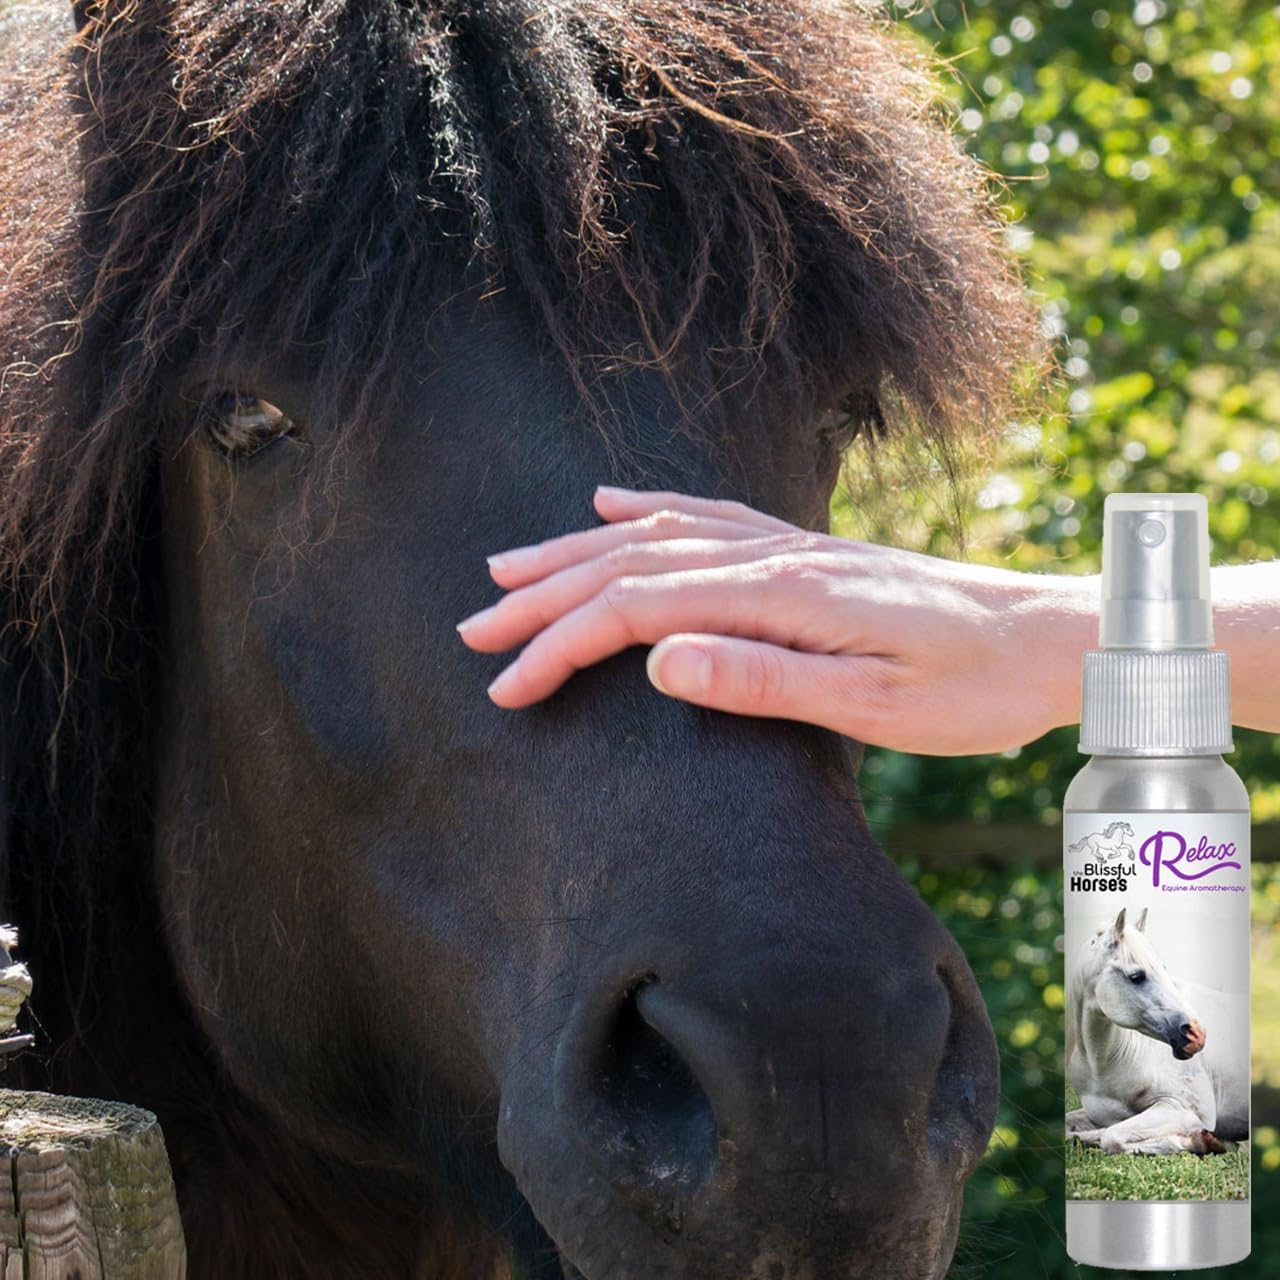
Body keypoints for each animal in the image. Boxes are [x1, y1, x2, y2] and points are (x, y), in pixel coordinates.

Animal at [1066, 908, 1249, 1157]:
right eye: (1137, 976)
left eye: (1163, 969)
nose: (1197, 1035)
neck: (1105, 1063)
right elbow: (1076, 1130)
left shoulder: (1182, 1109)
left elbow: (1111, 1137)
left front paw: (1202, 1141)